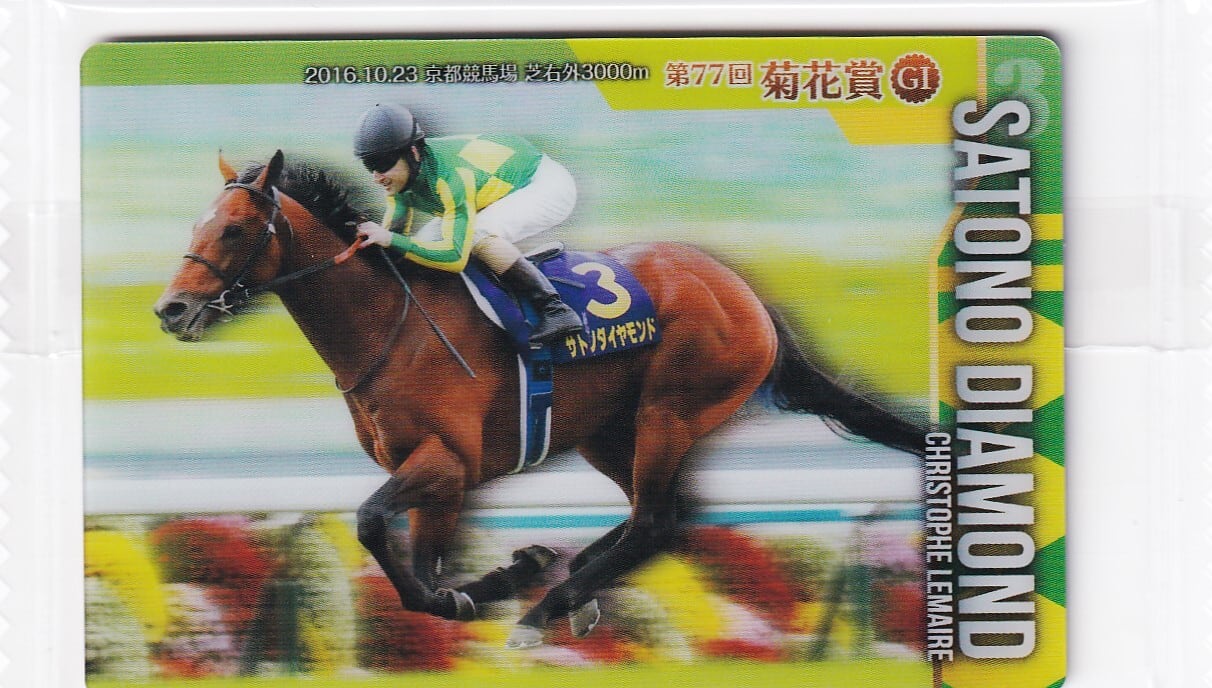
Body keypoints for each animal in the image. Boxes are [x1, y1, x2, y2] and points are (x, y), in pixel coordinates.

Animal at [154, 150, 925, 648]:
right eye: (194, 224)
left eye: (232, 228)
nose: (170, 310)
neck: (390, 323)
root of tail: (744, 291)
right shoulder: (438, 477)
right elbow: (419, 566)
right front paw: (498, 574)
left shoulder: (449, 460)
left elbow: (377, 529)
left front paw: (484, 587)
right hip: (608, 430)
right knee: (661, 514)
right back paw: (564, 581)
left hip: (671, 411)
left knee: (658, 522)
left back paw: (545, 607)